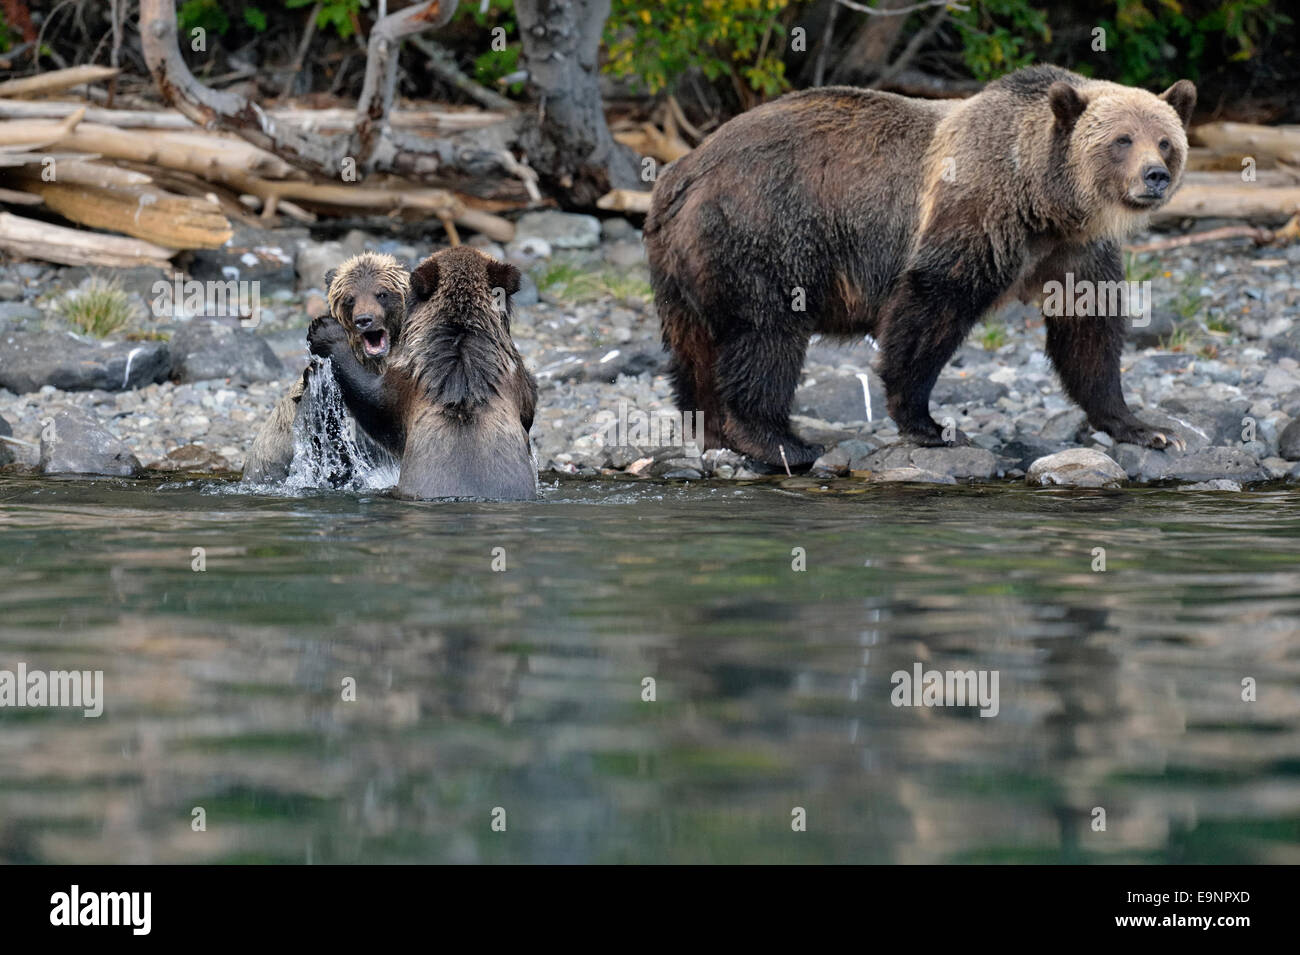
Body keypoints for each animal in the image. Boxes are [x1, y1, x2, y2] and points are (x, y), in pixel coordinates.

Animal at [306, 246, 535, 501]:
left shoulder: (407, 382)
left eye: (382, 295)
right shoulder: (514, 377)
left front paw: (325, 331)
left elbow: (376, 405)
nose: (363, 320)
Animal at [647, 64, 1196, 470]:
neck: (1045, 204)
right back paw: (779, 440)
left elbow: (1088, 331)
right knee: (766, 333)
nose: (1154, 175)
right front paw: (929, 424)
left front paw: (1147, 429)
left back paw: (714, 430)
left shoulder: (1075, 252)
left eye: (1165, 140)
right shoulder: (976, 216)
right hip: (765, 229)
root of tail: (685, 169)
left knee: (693, 348)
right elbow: (931, 306)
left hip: (679, 265)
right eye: (1122, 139)